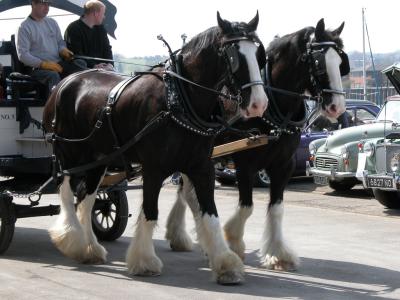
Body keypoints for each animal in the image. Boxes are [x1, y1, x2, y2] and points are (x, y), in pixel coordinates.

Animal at [42, 12, 268, 284]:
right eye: (234, 56)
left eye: (259, 54)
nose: (258, 104)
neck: (177, 101)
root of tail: (65, 82)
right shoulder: (154, 168)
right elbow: (150, 212)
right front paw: (144, 261)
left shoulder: (202, 167)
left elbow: (210, 213)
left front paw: (226, 264)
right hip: (69, 154)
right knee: (66, 192)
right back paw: (71, 238)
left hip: (99, 158)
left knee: (86, 198)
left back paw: (90, 249)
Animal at [164, 18, 348, 272]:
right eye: (320, 62)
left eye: (340, 62)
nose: (337, 107)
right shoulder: (245, 163)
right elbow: (247, 206)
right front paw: (233, 243)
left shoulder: (284, 165)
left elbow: (277, 208)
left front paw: (278, 253)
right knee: (188, 193)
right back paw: (185, 236)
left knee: (188, 192)